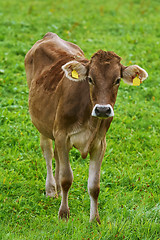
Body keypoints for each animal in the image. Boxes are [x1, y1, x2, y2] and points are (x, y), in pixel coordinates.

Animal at [24, 32, 148, 223]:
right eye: (90, 79)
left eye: (117, 80)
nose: (103, 109)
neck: (89, 119)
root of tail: (50, 35)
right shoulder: (62, 135)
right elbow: (67, 178)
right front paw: (64, 214)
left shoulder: (99, 143)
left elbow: (94, 186)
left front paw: (94, 219)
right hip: (42, 123)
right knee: (48, 152)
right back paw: (51, 189)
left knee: (57, 157)